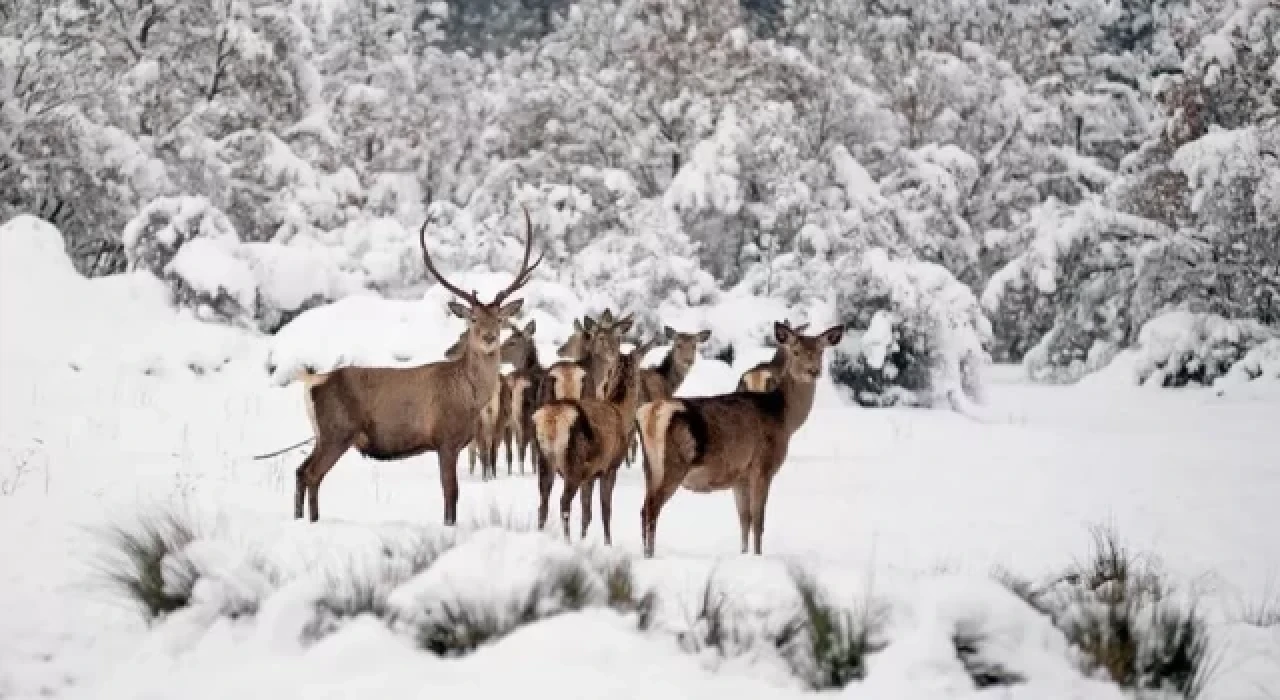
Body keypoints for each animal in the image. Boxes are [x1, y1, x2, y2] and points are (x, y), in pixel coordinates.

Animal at [285, 208, 540, 527]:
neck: (469, 398)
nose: (489, 337)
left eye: (500, 319)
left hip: (322, 434)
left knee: (301, 472)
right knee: (310, 474)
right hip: (337, 431)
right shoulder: (445, 438)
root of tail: (313, 382)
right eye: (472, 319)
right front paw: (449, 525)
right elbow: (450, 492)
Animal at [532, 335, 660, 547]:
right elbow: (605, 510)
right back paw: (567, 542)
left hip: (544, 457)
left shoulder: (590, 473)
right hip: (573, 462)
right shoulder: (609, 467)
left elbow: (587, 512)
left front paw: (584, 539)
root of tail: (552, 418)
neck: (621, 411)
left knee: (543, 502)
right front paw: (608, 543)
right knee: (563, 502)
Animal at [634, 322, 844, 557]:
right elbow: (759, 521)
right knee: (652, 509)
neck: (784, 418)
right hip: (674, 464)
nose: (813, 371)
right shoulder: (763, 466)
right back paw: (650, 555)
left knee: (643, 509)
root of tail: (652, 413)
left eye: (820, 351)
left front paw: (743, 554)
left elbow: (744, 520)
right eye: (796, 351)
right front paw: (758, 556)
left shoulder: (739, 475)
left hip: (649, 467)